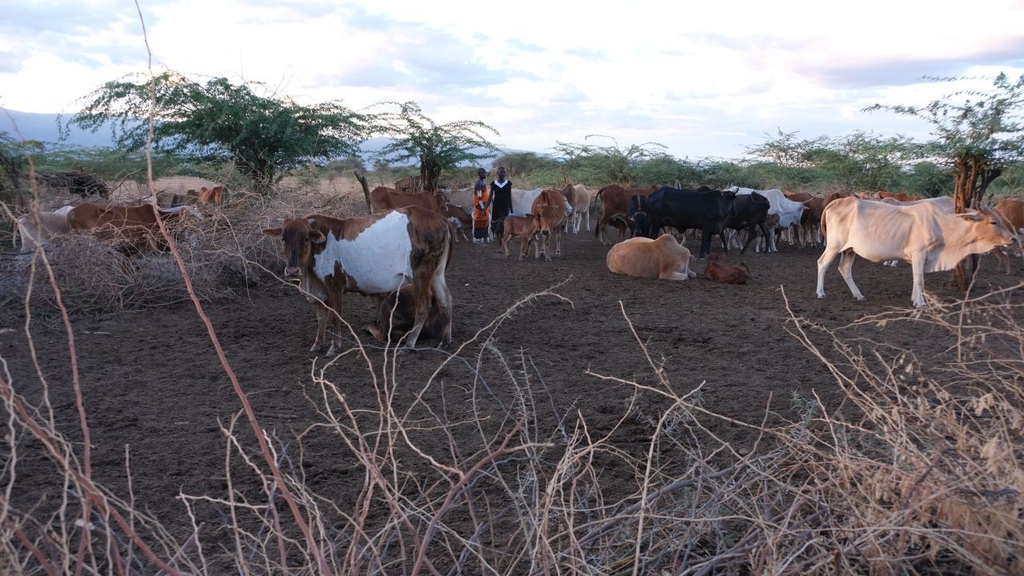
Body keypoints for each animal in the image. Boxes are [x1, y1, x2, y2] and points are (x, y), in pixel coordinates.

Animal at [262, 203, 454, 352]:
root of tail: (441, 218)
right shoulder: (320, 292)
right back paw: (445, 341)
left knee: (424, 306)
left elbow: (335, 317)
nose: (292, 270)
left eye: (306, 238)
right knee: (445, 300)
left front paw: (334, 347)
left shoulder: (335, 286)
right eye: (283, 239)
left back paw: (409, 344)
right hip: (436, 273)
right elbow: (321, 318)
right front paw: (317, 344)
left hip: (421, 273)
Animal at [815, 194, 1015, 307]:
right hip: (834, 245)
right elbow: (918, 279)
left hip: (849, 250)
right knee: (822, 263)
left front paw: (915, 299)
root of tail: (838, 201)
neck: (943, 224)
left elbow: (917, 279)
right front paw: (920, 302)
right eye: (993, 222)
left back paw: (859, 295)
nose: (1012, 239)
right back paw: (820, 293)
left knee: (844, 269)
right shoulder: (919, 253)